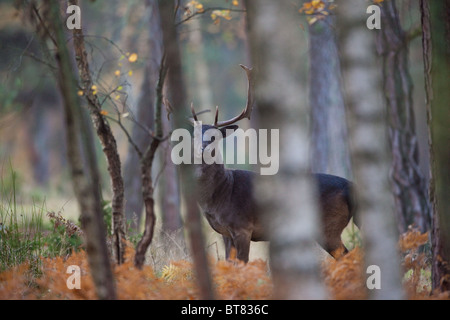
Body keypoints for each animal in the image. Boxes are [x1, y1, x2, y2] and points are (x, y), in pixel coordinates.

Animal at [188, 63, 354, 262]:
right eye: (195, 135)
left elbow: (243, 263)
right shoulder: (225, 233)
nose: (202, 149)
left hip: (329, 227)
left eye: (216, 137)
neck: (219, 197)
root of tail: (350, 186)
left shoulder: (243, 226)